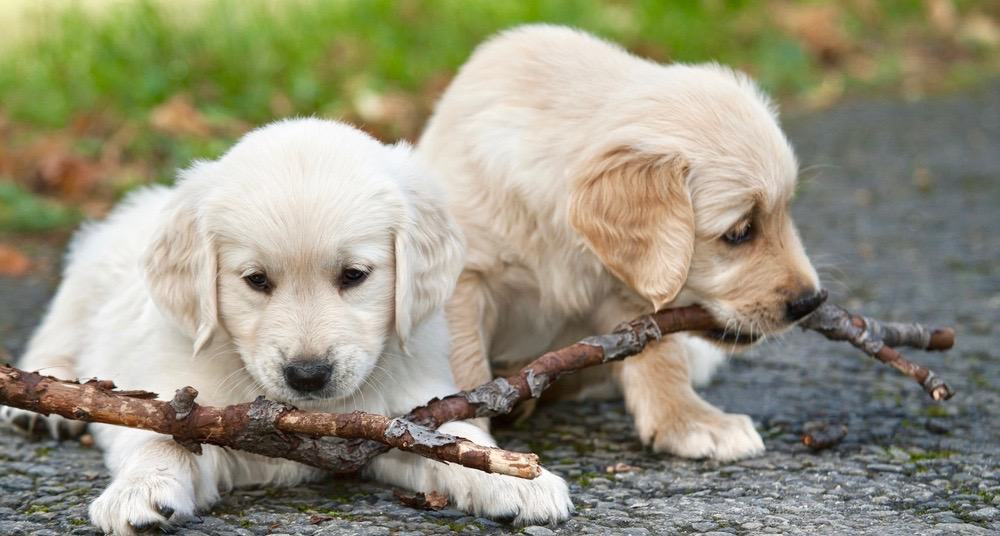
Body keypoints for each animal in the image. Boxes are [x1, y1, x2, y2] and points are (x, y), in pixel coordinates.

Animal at [1, 119, 572, 532]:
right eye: (256, 280)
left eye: (354, 275)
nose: (308, 375)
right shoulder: (179, 400)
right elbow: (162, 439)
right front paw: (138, 493)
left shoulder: (395, 419)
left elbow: (451, 437)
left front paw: (517, 479)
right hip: (86, 278)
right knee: (55, 335)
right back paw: (42, 403)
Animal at [418, 25, 824, 460]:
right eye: (739, 232)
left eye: (785, 212)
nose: (811, 301)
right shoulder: (464, 278)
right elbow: (462, 358)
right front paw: (463, 433)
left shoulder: (631, 294)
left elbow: (660, 353)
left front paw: (689, 420)